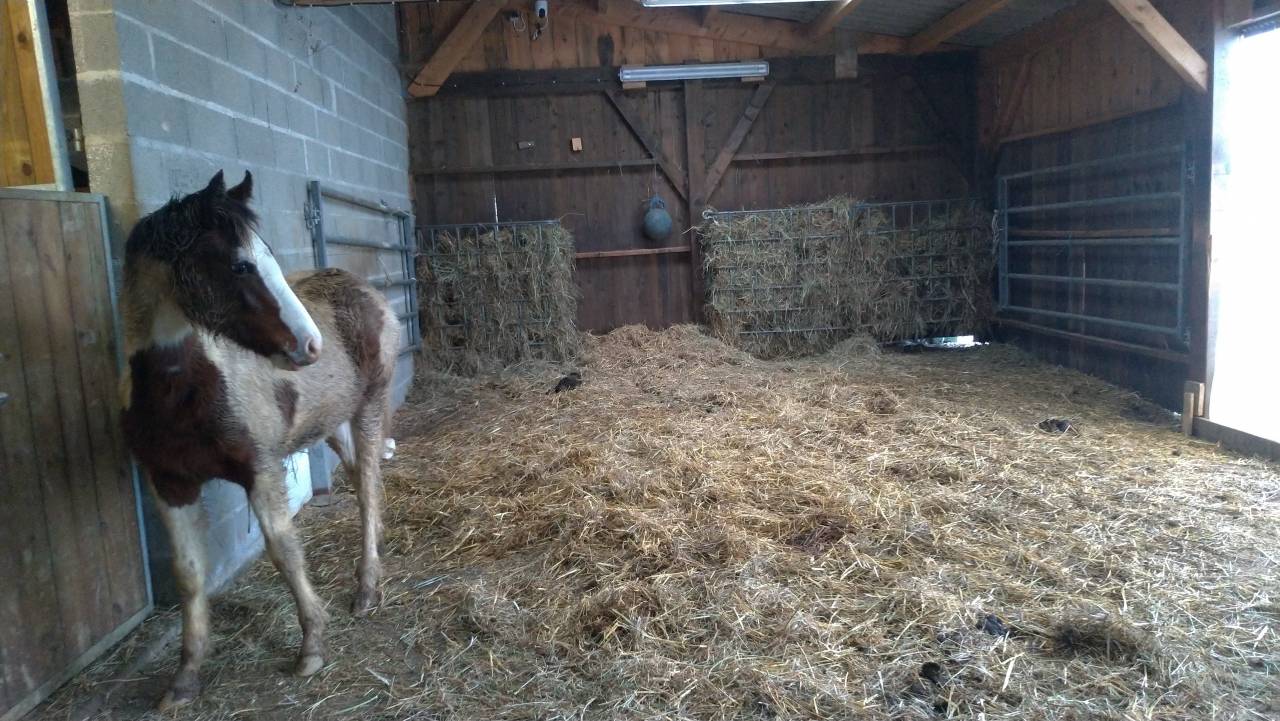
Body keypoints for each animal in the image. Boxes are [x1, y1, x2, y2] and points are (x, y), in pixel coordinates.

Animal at [119, 170, 399, 709]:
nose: (309, 345)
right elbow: (189, 573)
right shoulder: (168, 482)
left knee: (370, 489)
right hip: (332, 423)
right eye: (240, 265)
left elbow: (283, 549)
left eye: (268, 255)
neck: (186, 388)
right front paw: (184, 677)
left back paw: (366, 587)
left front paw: (311, 645)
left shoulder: (261, 469)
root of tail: (363, 290)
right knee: (362, 477)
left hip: (370, 406)